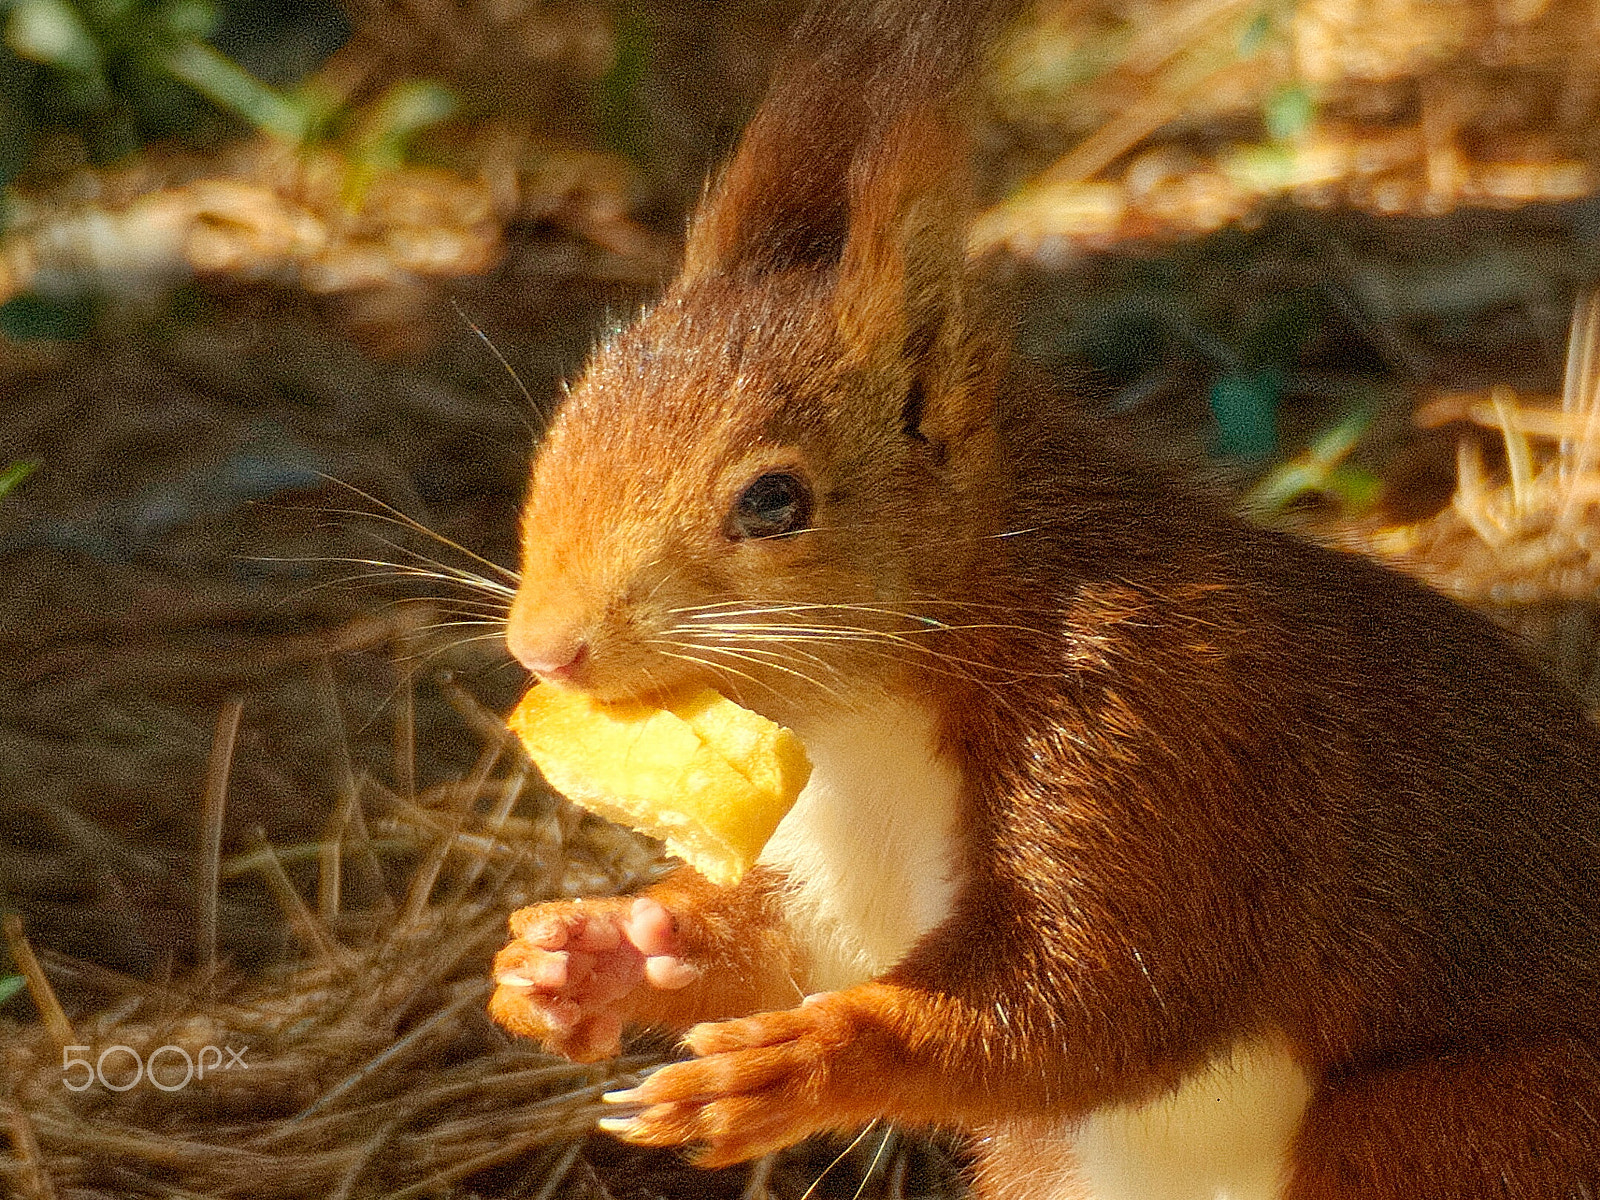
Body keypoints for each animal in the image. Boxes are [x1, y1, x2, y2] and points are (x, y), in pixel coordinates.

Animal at [483, 4, 1600, 1196]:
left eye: (774, 499)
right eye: (568, 422)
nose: (545, 648)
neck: (871, 717)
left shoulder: (1161, 744)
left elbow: (1089, 999)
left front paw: (800, 1062)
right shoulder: (842, 856)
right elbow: (800, 942)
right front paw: (596, 951)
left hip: (1452, 1125)